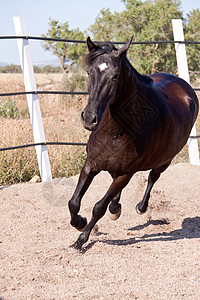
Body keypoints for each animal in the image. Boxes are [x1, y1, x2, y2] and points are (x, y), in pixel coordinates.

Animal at [68, 36, 198, 250]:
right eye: (89, 72)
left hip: (165, 160)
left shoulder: (126, 173)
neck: (116, 131)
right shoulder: (91, 164)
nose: (89, 118)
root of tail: (184, 87)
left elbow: (99, 207)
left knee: (153, 177)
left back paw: (140, 207)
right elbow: (74, 202)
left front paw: (81, 240)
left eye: (115, 76)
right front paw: (79, 222)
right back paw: (115, 207)